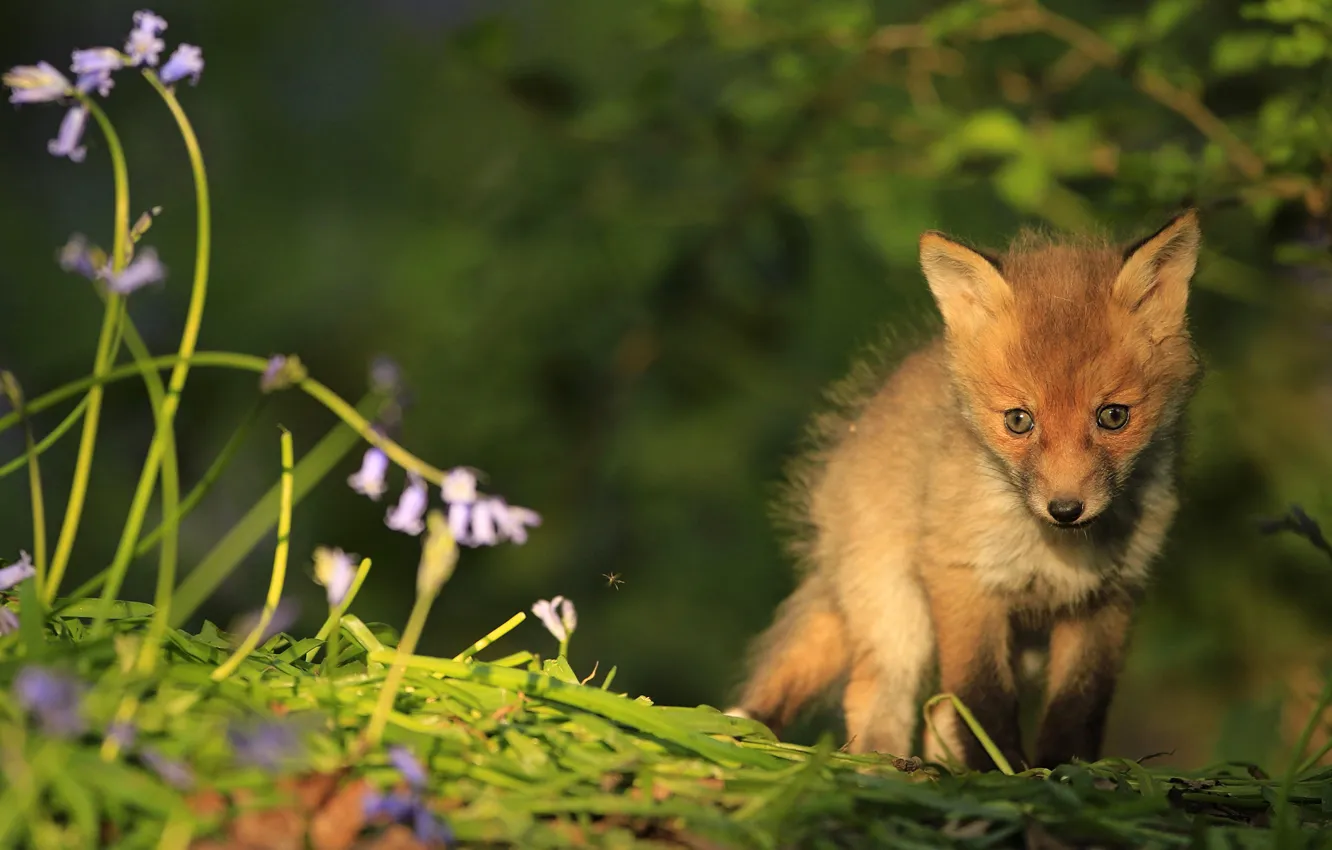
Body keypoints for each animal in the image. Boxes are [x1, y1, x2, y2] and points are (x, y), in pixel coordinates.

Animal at [728, 210, 1204, 771]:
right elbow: (981, 698)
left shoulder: (1108, 598)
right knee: (876, 693)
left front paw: (1064, 770)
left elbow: (1078, 706)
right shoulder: (961, 580)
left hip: (1021, 647)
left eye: (1113, 417)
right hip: (898, 614)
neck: (1051, 550)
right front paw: (1001, 770)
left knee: (935, 712)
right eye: (1019, 421)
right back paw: (882, 764)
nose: (1066, 509)